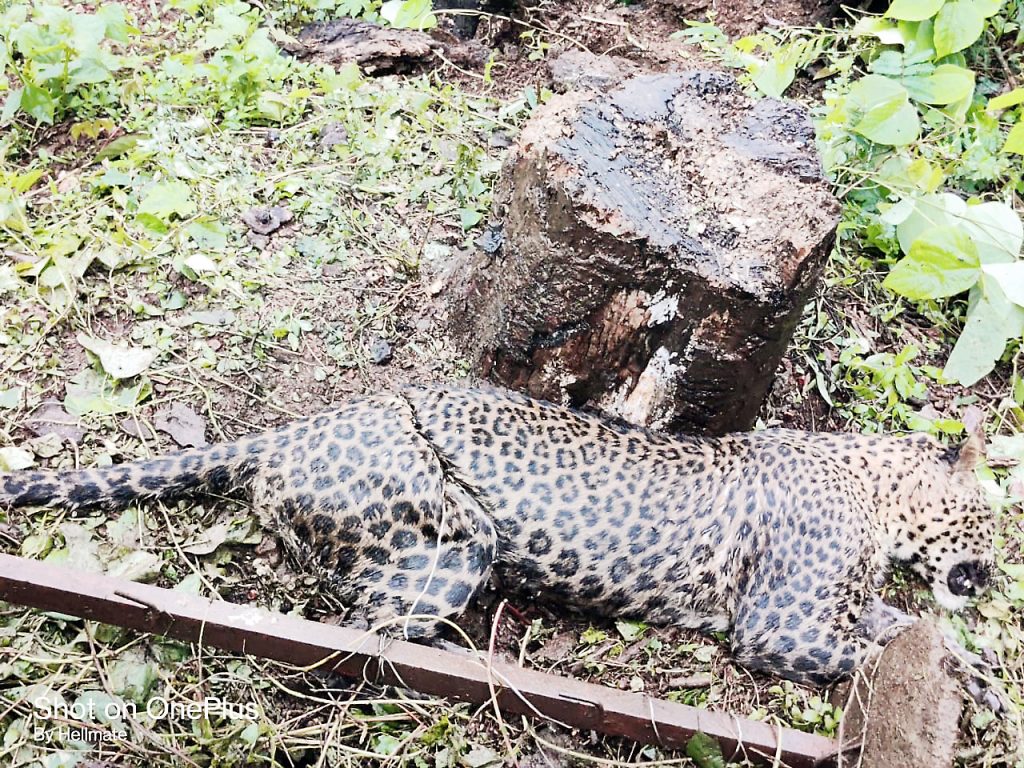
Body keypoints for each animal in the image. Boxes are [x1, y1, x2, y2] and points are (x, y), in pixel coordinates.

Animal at [0, 385, 996, 685]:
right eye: (992, 516)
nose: (990, 574)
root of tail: (297, 429)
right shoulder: (780, 628)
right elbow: (888, 647)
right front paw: (974, 684)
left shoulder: (840, 609)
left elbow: (906, 629)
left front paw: (967, 666)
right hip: (452, 537)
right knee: (360, 631)